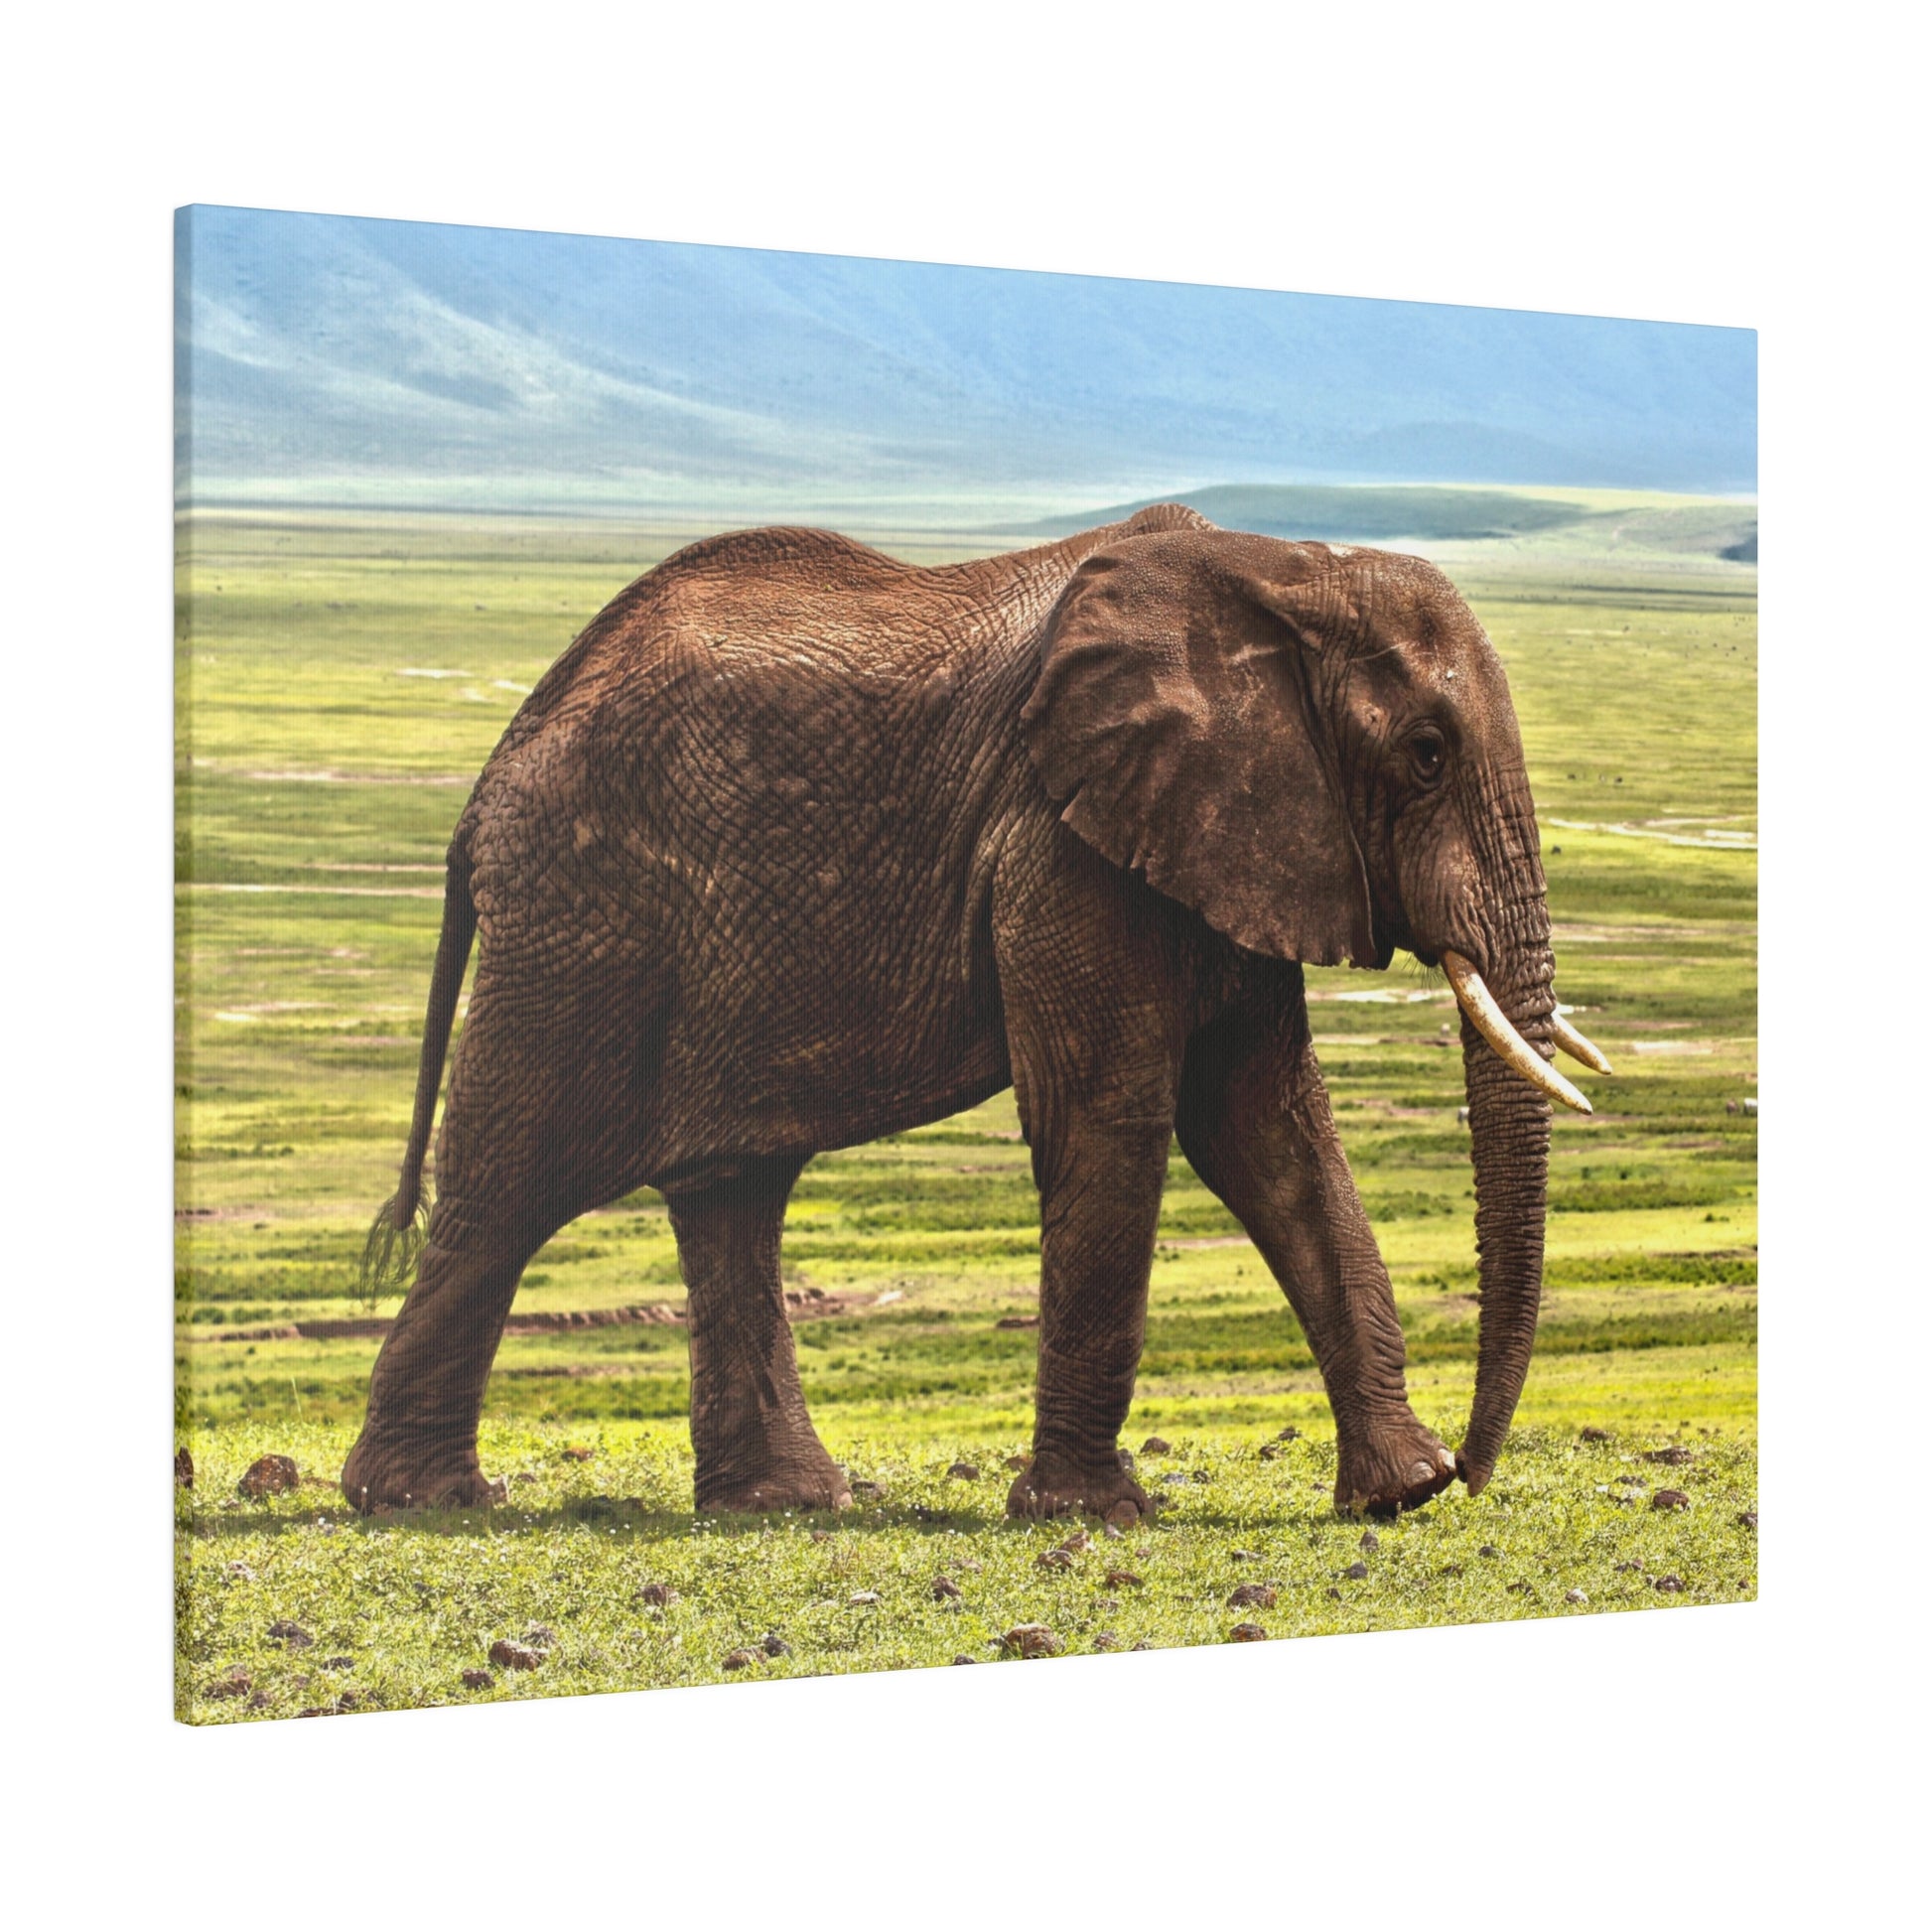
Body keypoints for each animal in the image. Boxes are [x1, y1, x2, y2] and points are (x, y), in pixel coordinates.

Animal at [341, 502, 1610, 1521]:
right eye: (1426, 754)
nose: (1476, 1471)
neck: (1280, 569)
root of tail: (493, 770)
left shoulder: (1227, 838)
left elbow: (1270, 1131)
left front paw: (1399, 1494)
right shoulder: (1061, 843)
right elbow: (1111, 1118)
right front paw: (1090, 1514)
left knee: (730, 1189)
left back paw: (783, 1503)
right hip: (583, 922)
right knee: (508, 1188)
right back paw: (420, 1500)